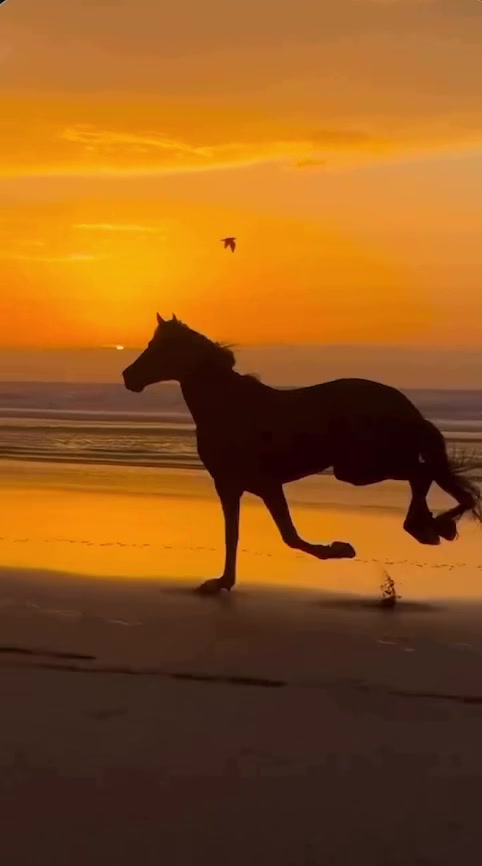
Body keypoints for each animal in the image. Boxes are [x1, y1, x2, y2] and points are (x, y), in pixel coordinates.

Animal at [123, 314, 481, 595]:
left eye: (159, 347)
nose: (128, 377)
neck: (229, 407)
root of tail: (404, 405)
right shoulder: (231, 487)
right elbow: (233, 535)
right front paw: (223, 582)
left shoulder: (263, 484)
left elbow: (288, 536)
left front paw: (339, 549)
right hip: (361, 466)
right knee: (426, 474)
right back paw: (435, 526)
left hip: (358, 468)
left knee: (422, 473)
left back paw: (428, 527)